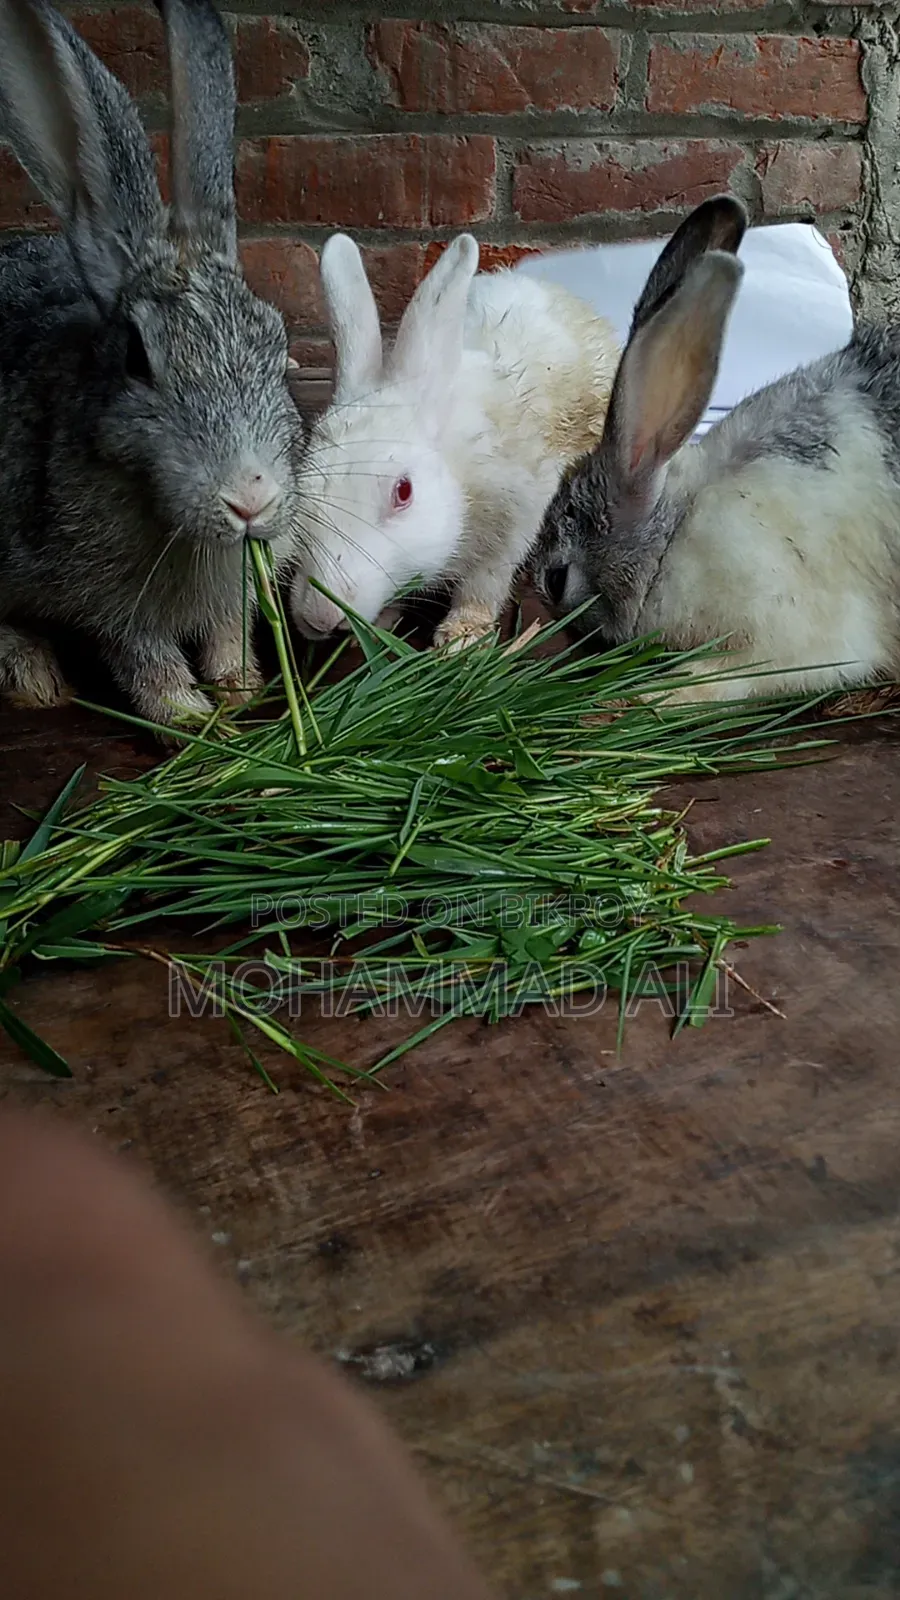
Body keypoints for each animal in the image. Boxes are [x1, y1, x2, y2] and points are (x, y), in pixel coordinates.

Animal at [0, 0, 306, 727]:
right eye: (138, 361)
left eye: (277, 344)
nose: (250, 501)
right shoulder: (107, 601)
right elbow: (143, 656)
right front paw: (188, 717)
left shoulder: (234, 593)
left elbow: (229, 631)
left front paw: (240, 689)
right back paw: (35, 680)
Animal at [289, 232, 620, 649]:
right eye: (303, 483)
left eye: (403, 491)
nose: (319, 615)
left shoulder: (513, 521)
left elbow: (484, 585)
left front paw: (460, 639)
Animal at [531, 193, 900, 704]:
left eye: (556, 579)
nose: (566, 643)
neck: (671, 532)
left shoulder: (787, 628)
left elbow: (731, 673)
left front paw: (648, 695)